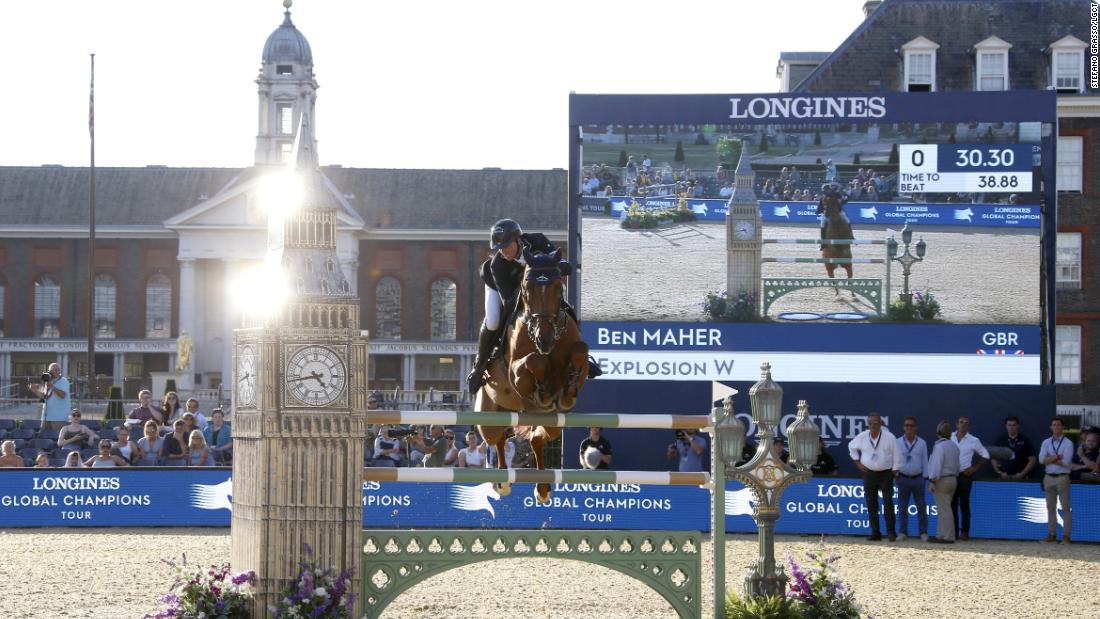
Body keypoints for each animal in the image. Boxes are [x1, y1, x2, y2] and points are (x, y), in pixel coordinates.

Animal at [475, 249, 589, 505]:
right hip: (488, 418)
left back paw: (543, 488)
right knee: (497, 439)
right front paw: (543, 391)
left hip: (556, 423)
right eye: (527, 288)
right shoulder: (515, 373)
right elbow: (534, 361)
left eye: (558, 287)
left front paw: (567, 390)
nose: (543, 339)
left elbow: (580, 351)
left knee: (537, 439)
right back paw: (502, 483)